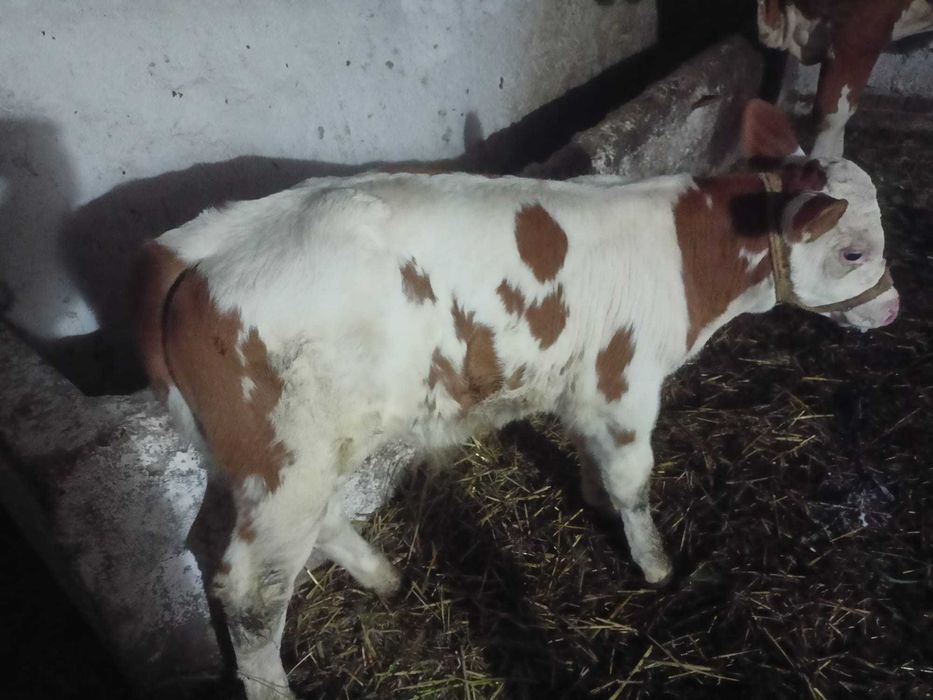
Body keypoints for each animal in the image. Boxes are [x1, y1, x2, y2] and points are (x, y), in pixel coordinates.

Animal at [134, 99, 898, 699]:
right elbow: (634, 478)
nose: (892, 309)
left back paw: (383, 576)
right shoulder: (625, 382)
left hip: (282, 459)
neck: (689, 257)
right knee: (252, 594)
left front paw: (591, 498)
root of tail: (195, 251)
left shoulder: (581, 381)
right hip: (284, 459)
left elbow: (591, 455)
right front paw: (654, 564)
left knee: (314, 526)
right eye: (853, 252)